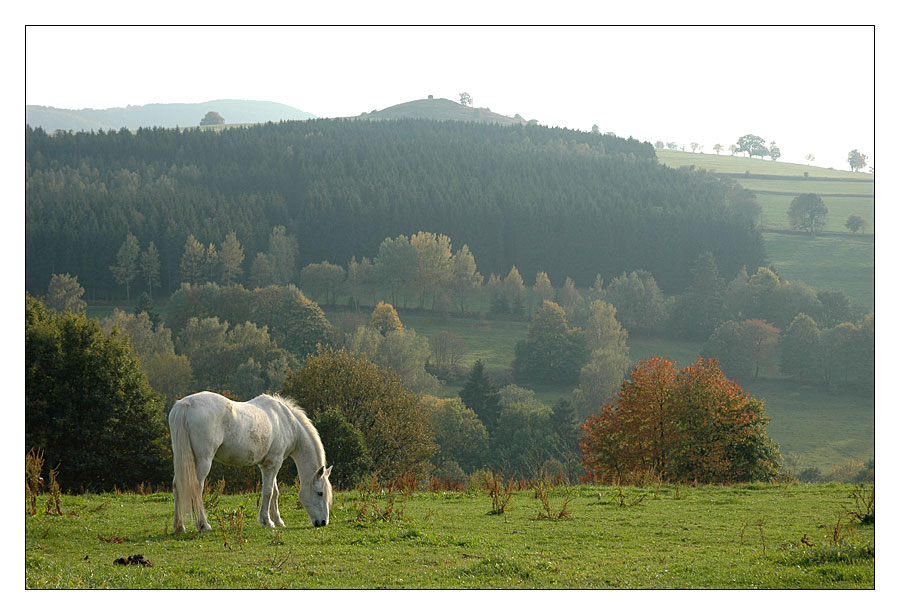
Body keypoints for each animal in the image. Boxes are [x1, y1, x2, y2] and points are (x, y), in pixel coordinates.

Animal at [167, 394, 332, 536]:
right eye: (320, 493)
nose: (323, 522)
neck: (286, 421)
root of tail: (185, 404)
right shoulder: (274, 463)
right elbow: (268, 492)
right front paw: (267, 521)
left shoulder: (269, 465)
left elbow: (275, 492)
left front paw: (278, 521)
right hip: (203, 460)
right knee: (196, 488)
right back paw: (203, 525)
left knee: (177, 486)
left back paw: (179, 527)